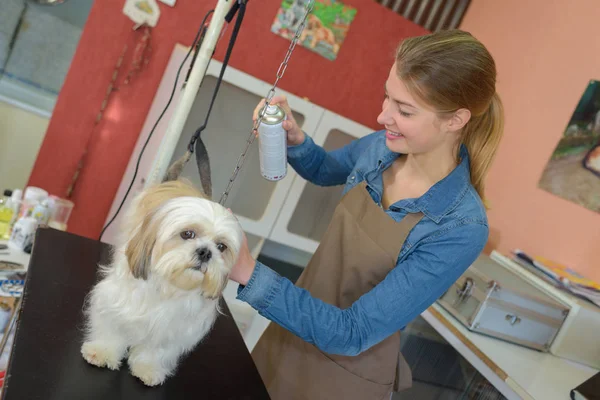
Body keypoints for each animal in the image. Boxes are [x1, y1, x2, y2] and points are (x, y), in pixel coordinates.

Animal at [81, 140, 243, 384]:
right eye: (187, 234)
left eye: (221, 247)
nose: (205, 252)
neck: (169, 287)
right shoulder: (116, 299)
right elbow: (112, 325)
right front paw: (103, 351)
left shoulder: (177, 326)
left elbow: (158, 348)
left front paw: (147, 367)